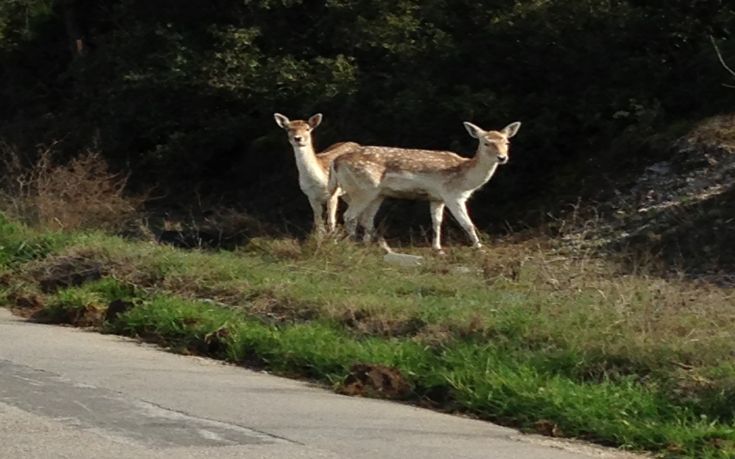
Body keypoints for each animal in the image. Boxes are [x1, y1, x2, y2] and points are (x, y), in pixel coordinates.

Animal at [328, 121, 524, 252]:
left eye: (506, 142)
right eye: (486, 142)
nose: (502, 157)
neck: (465, 178)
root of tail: (336, 162)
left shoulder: (437, 198)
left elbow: (437, 221)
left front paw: (437, 248)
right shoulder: (452, 195)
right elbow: (467, 223)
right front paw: (480, 247)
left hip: (377, 194)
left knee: (366, 219)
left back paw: (374, 246)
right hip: (364, 189)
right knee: (349, 215)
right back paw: (352, 244)